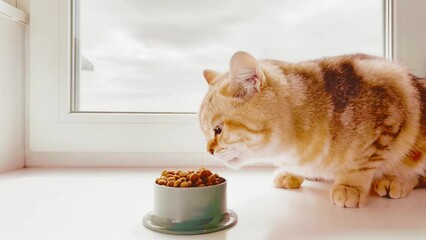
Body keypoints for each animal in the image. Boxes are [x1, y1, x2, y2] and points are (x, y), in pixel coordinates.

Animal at [200, 51, 426, 208]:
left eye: (218, 129)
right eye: (204, 131)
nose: (209, 151)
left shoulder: (387, 120)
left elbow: (361, 163)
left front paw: (349, 186)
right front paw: (291, 173)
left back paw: (394, 180)